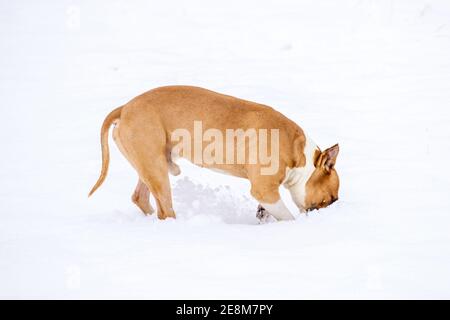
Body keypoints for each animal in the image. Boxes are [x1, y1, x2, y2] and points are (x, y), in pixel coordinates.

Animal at [89, 86, 340, 221]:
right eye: (331, 198)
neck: (298, 152)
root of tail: (125, 108)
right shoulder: (265, 190)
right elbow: (286, 216)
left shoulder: (267, 195)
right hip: (156, 169)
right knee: (165, 210)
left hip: (150, 165)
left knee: (140, 197)